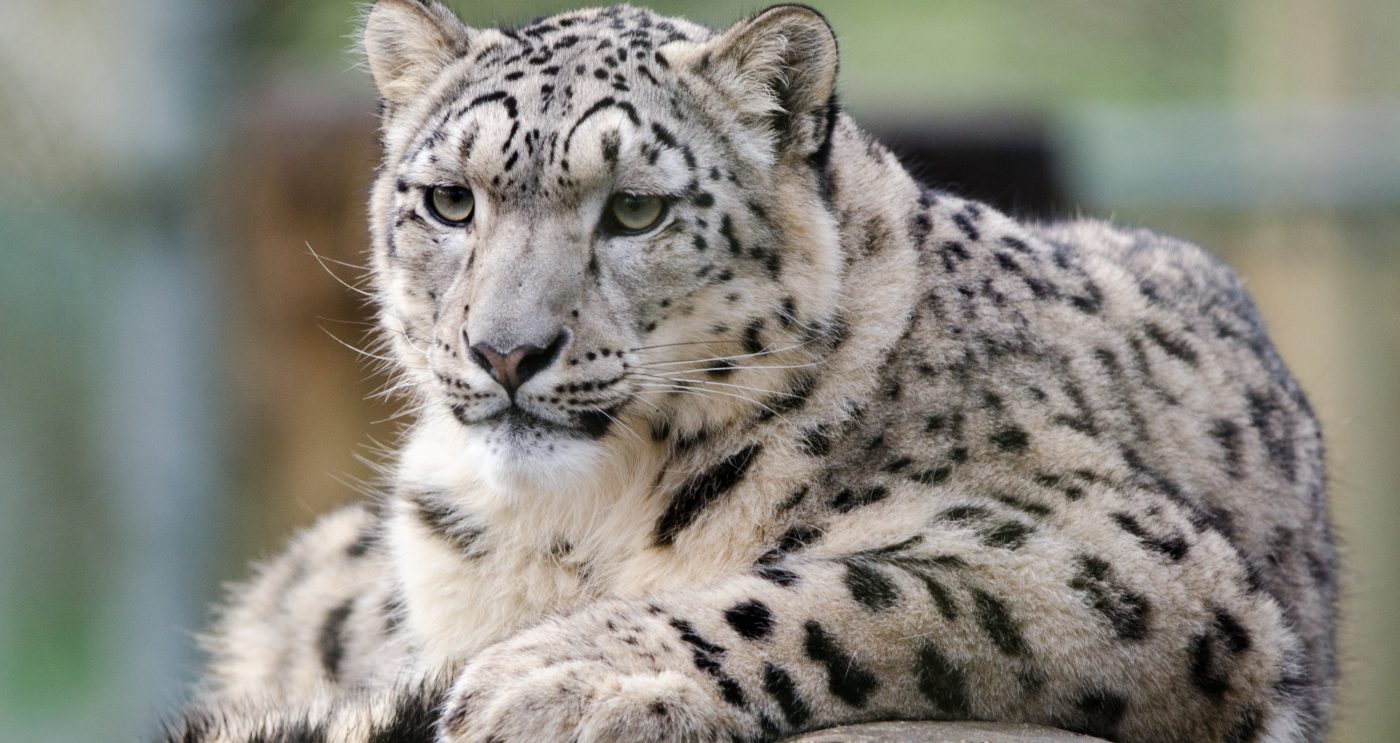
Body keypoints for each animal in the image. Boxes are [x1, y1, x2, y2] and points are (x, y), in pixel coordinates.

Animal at [164, 2, 1338, 741]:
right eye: (450, 200)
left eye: (635, 209)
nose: (507, 350)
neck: (569, 525)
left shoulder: (1107, 552)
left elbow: (851, 590)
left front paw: (561, 673)